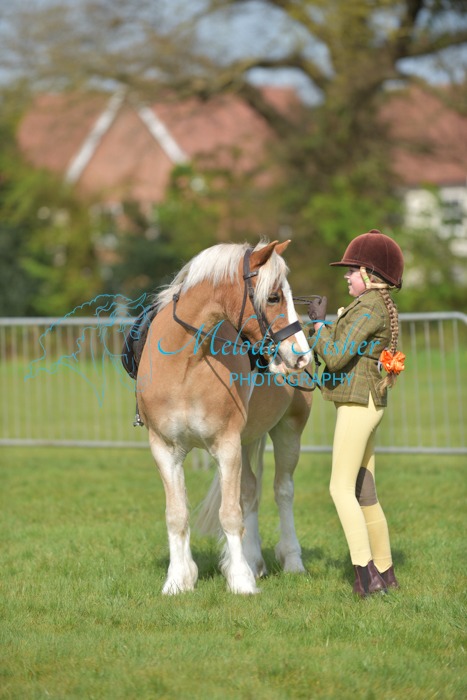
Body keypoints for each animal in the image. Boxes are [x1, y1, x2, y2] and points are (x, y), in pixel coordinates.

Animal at [137, 240, 313, 594]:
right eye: (273, 297)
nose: (302, 355)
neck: (185, 367)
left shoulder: (227, 446)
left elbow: (230, 514)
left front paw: (241, 582)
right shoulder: (165, 450)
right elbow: (177, 514)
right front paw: (178, 580)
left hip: (288, 431)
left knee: (282, 491)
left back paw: (291, 561)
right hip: (248, 441)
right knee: (251, 492)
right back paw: (254, 561)